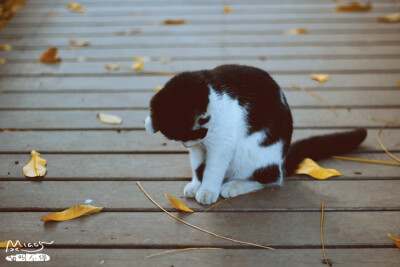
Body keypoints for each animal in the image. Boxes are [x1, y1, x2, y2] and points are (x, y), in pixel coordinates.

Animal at [145, 65, 368, 205]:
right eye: (179, 139)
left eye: (186, 136)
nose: (187, 145)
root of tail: (282, 161)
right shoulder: (201, 147)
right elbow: (199, 166)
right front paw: (196, 184)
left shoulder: (221, 143)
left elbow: (212, 168)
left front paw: (207, 189)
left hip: (253, 153)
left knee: (272, 178)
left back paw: (235, 185)